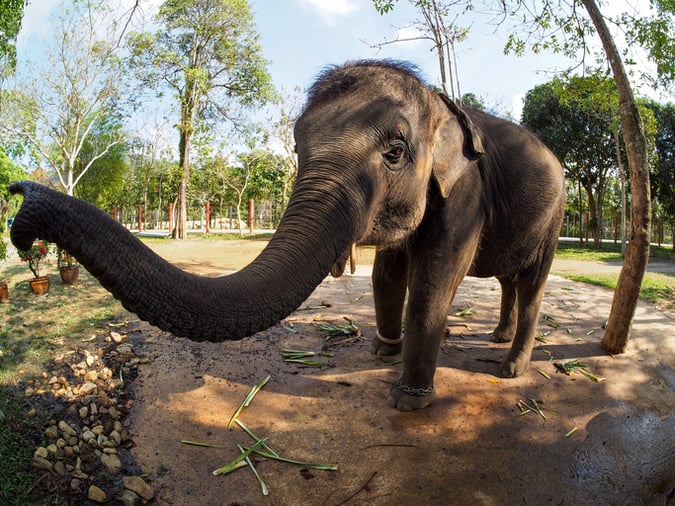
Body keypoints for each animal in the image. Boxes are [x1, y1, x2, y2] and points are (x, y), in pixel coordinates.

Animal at [9, 60, 565, 411]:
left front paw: (408, 402)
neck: (436, 101)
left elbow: (432, 284)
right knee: (511, 282)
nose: (19, 203)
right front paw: (383, 353)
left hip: (557, 216)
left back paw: (511, 367)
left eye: (395, 153)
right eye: (297, 148)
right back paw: (496, 336)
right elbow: (388, 273)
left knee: (533, 285)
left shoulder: (467, 195)